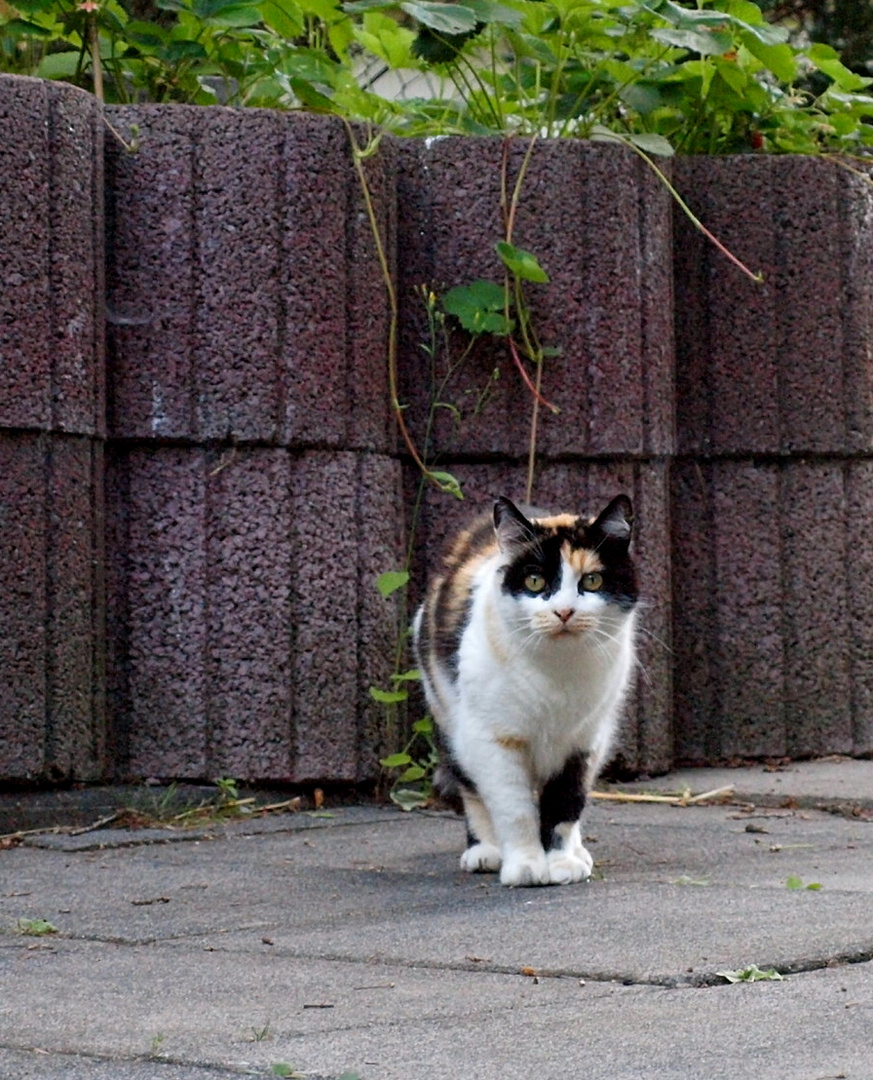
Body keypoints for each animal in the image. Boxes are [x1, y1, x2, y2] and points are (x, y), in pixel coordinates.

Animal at [412, 494, 639, 889]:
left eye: (592, 580)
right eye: (535, 581)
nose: (564, 611)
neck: (558, 673)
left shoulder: (584, 742)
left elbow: (566, 803)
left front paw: (562, 862)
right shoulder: (493, 739)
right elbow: (514, 809)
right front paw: (526, 866)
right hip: (449, 720)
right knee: (472, 790)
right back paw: (485, 851)